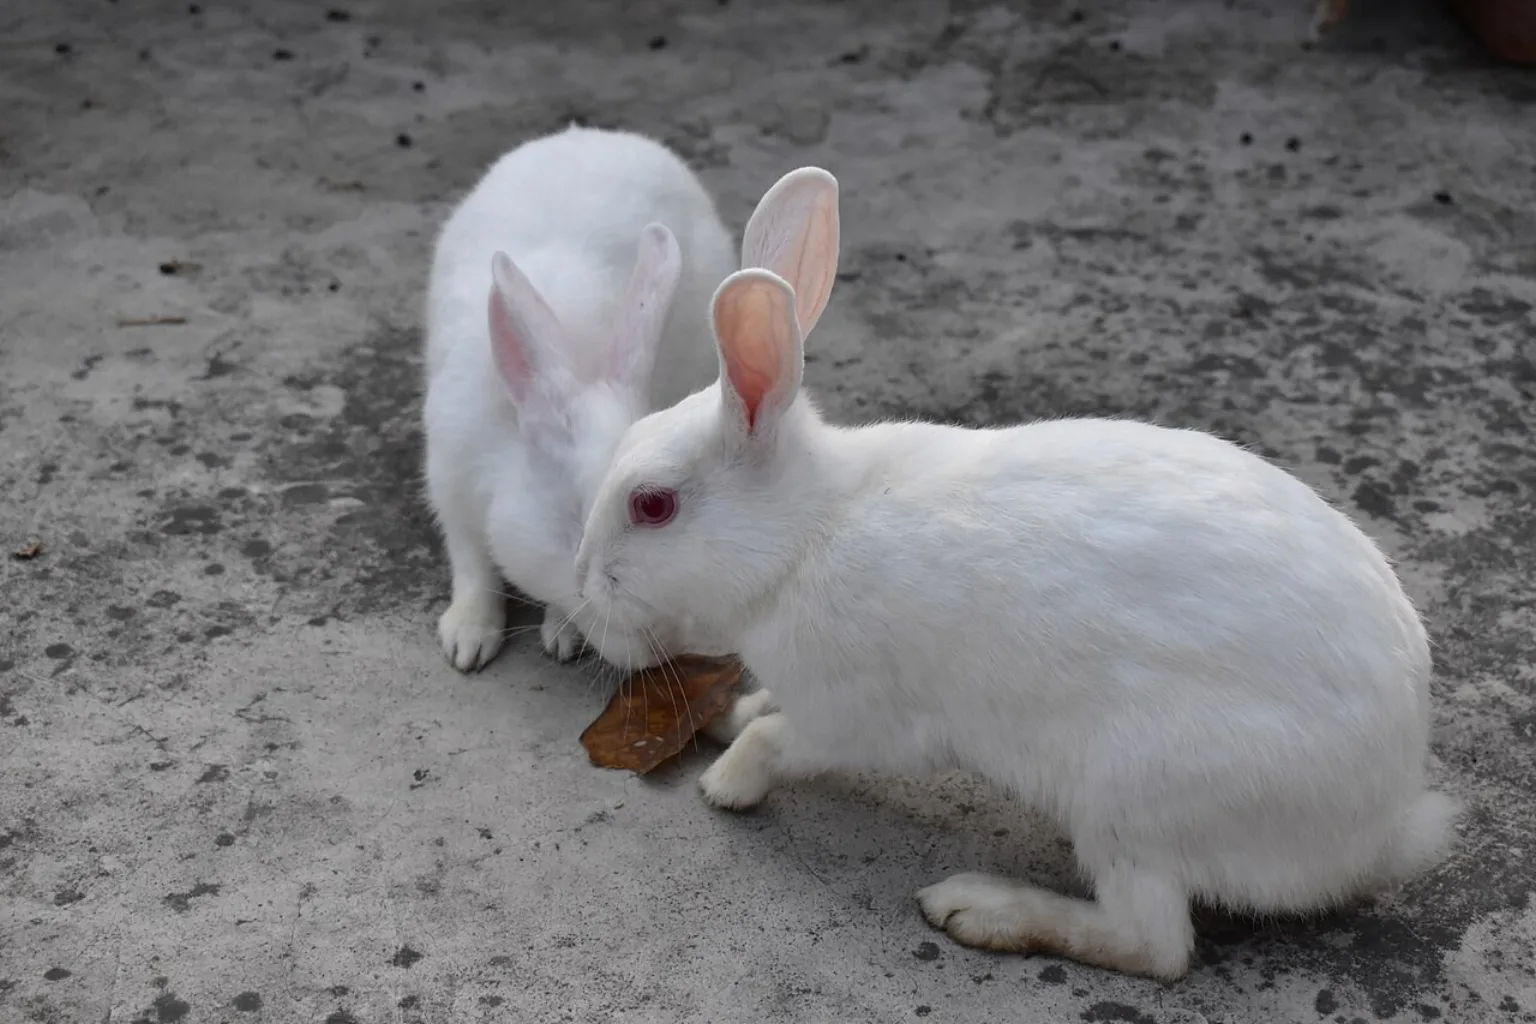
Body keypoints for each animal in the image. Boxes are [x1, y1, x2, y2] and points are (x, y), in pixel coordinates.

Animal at [423, 124, 839, 674]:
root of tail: (590, 134)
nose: (659, 648)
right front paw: (467, 639)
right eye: (576, 534)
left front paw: (561, 634)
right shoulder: (450, 482)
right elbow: (473, 565)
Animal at [571, 266, 1458, 979]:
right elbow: (764, 714)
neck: (805, 534)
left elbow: (777, 741)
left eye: (653, 506)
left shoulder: (856, 718)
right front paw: (733, 714)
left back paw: (977, 910)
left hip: (1129, 795)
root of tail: (1378, 829)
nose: (581, 593)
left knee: (1155, 947)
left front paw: (726, 784)